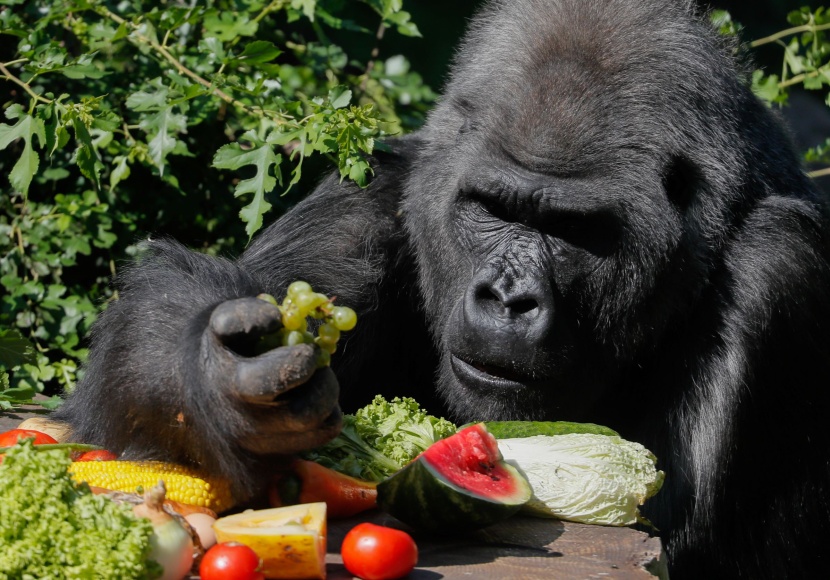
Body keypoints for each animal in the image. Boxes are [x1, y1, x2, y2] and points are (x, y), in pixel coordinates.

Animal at [55, 0, 830, 576]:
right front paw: (221, 382)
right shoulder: (371, 196)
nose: (510, 297)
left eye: (574, 229)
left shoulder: (782, 268)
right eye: (492, 208)